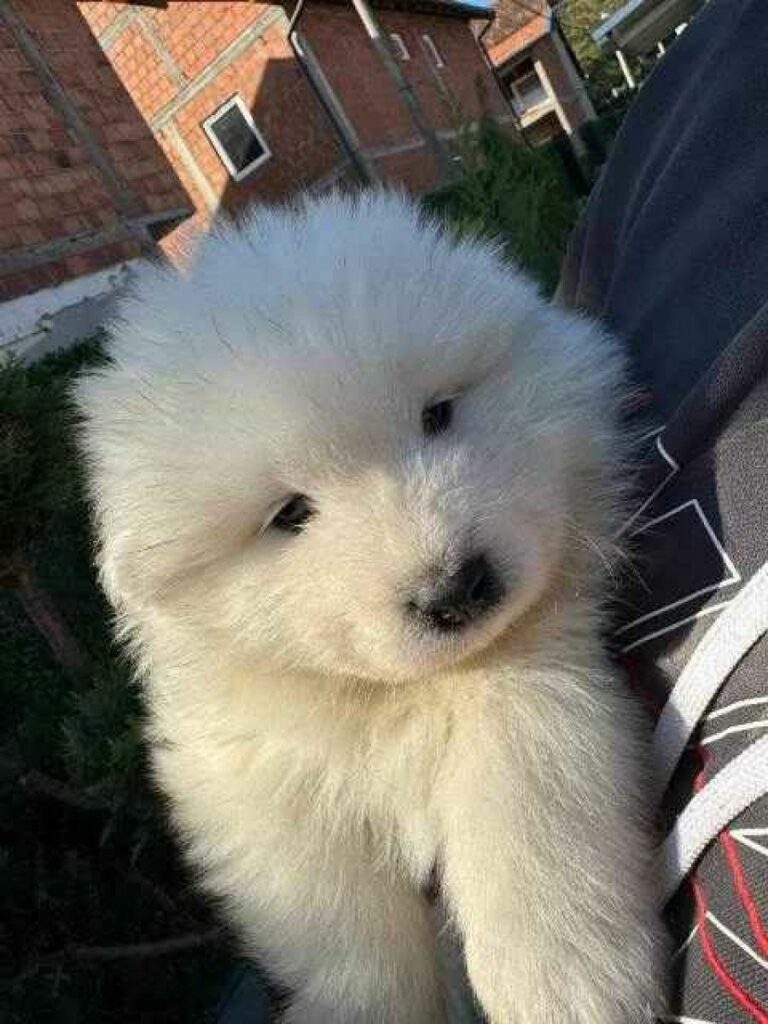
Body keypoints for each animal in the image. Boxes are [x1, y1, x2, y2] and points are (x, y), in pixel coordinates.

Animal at [78, 192, 663, 1023]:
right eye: (290, 514)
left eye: (438, 414)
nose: (456, 587)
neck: (397, 699)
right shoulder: (253, 777)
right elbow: (342, 928)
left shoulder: (540, 682)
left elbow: (528, 811)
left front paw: (566, 984)